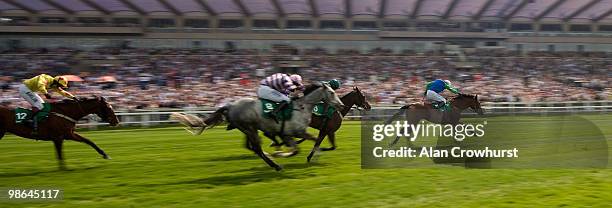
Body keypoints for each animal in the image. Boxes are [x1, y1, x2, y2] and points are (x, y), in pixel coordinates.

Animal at [172, 83, 344, 171]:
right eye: (331, 92)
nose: (341, 105)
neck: (301, 107)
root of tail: (230, 105)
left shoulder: (288, 134)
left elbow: (305, 145)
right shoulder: (296, 132)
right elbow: (308, 144)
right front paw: (282, 155)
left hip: (248, 130)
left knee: (255, 148)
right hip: (249, 128)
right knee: (257, 149)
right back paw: (275, 165)